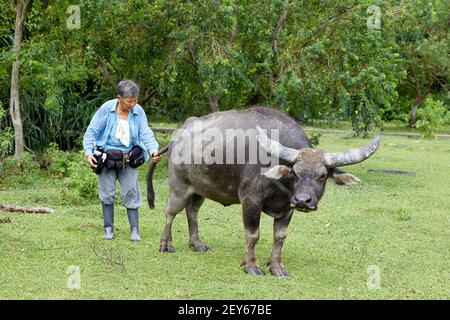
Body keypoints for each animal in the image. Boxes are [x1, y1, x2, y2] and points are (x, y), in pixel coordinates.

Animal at [148, 106, 380, 276]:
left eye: (322, 175)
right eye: (295, 172)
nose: (303, 201)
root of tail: (177, 138)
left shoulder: (288, 208)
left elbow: (280, 237)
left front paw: (276, 266)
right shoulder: (250, 202)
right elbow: (253, 235)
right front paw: (251, 265)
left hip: (199, 189)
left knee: (192, 211)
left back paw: (197, 244)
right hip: (178, 187)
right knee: (170, 212)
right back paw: (166, 244)